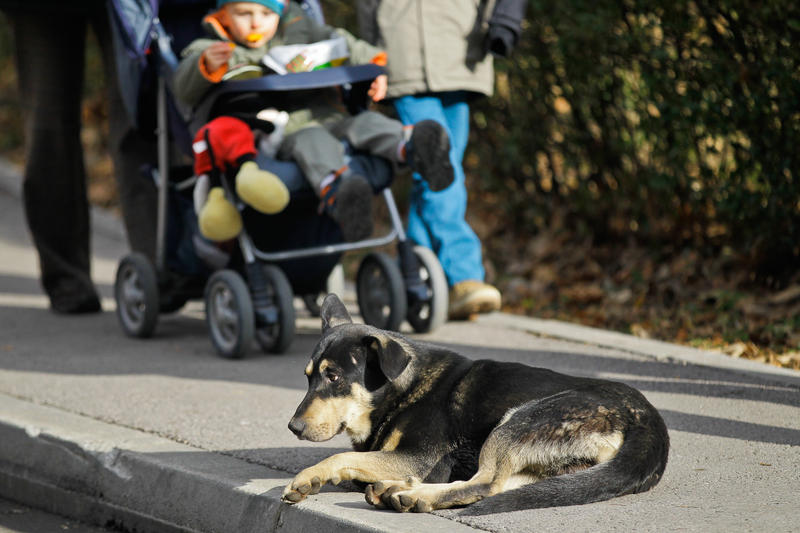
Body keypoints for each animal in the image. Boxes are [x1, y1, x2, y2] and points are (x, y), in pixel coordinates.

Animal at [282, 296, 668, 512]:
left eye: (334, 377)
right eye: (308, 377)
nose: (293, 427)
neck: (400, 390)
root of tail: (649, 420)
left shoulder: (417, 459)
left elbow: (339, 457)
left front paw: (308, 477)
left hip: (516, 423)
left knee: (486, 483)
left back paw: (413, 495)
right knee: (505, 486)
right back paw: (399, 491)